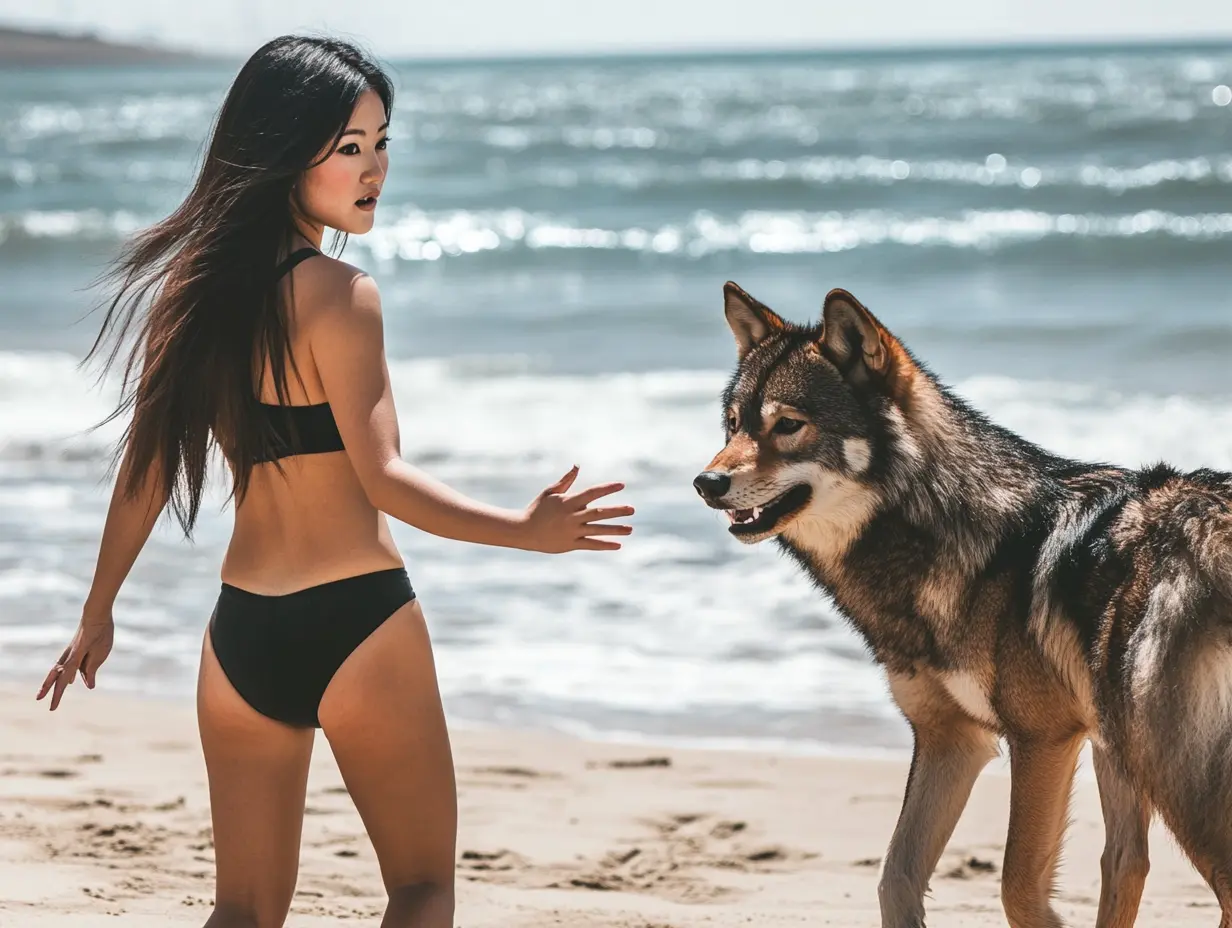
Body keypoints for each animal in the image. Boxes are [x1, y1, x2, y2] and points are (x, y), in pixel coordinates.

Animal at [693, 281, 1232, 928]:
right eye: (732, 426)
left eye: (788, 425)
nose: (705, 483)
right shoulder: (953, 740)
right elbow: (895, 879)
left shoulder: (1044, 737)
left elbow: (1018, 887)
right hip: (1138, 754)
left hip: (1170, 771)